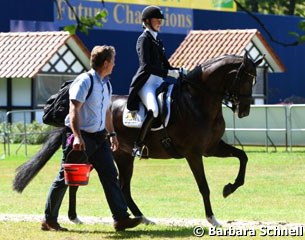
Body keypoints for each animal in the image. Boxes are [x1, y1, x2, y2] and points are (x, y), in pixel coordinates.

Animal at [13, 53, 262, 227]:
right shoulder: (193, 154)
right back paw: (77, 218)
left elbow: (243, 157)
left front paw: (230, 188)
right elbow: (204, 187)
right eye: (243, 78)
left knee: (118, 187)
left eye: (254, 80)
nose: (244, 111)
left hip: (120, 155)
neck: (198, 101)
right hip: (102, 153)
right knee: (79, 181)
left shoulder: (211, 148)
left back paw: (138, 217)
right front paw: (212, 218)